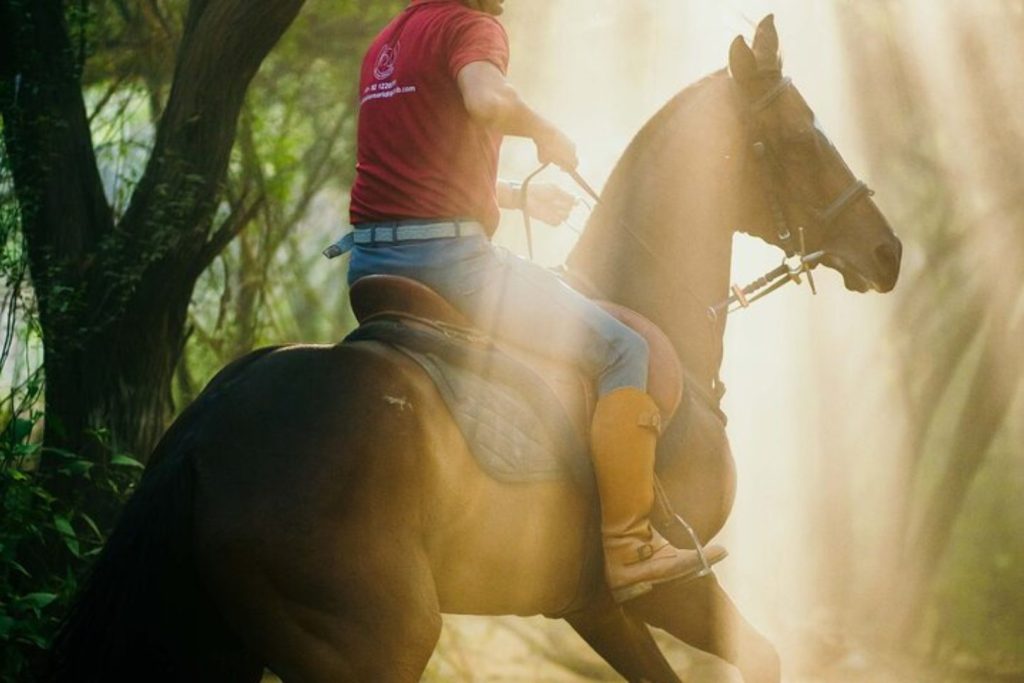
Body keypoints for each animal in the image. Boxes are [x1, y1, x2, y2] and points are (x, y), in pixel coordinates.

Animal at [49, 15, 901, 683]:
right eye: (799, 134)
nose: (887, 251)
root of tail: (205, 432)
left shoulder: (586, 603)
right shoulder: (659, 587)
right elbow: (756, 653)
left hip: (226, 641)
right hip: (374, 642)